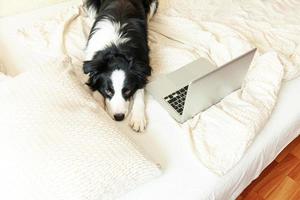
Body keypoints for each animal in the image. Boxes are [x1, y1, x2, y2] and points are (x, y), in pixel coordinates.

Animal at [81, 0, 157, 132]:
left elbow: (140, 91)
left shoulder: (142, 67)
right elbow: (95, 89)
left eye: (127, 91)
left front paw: (138, 118)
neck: (117, 49)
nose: (119, 117)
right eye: (108, 90)